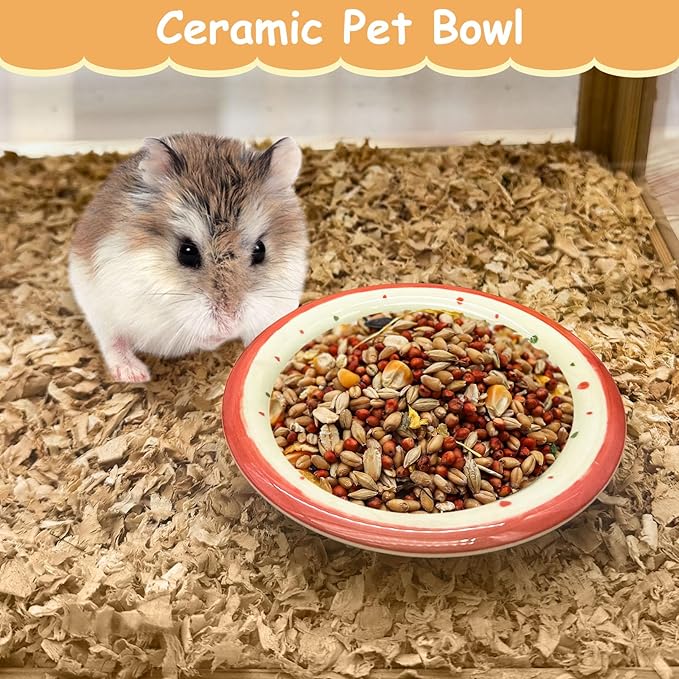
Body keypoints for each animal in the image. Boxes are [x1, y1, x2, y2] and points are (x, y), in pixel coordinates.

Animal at [69, 133, 308, 383]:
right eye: (187, 252)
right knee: (112, 340)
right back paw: (134, 374)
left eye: (260, 250)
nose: (229, 325)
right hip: (98, 308)